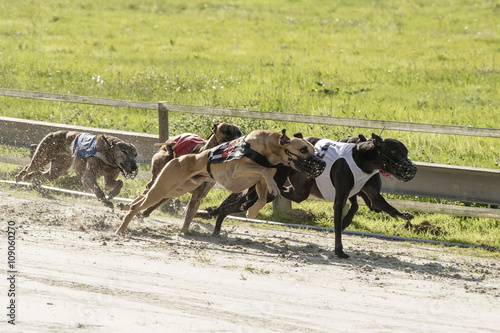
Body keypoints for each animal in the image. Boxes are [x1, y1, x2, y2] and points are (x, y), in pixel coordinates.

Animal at [197, 134, 416, 258]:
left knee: (279, 194)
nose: (412, 168)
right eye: (393, 150)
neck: (362, 160)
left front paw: (405, 216)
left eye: (405, 150)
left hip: (295, 190)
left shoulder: (371, 193)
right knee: (239, 203)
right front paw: (339, 251)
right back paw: (218, 223)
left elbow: (383, 205)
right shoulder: (340, 198)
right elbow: (339, 222)